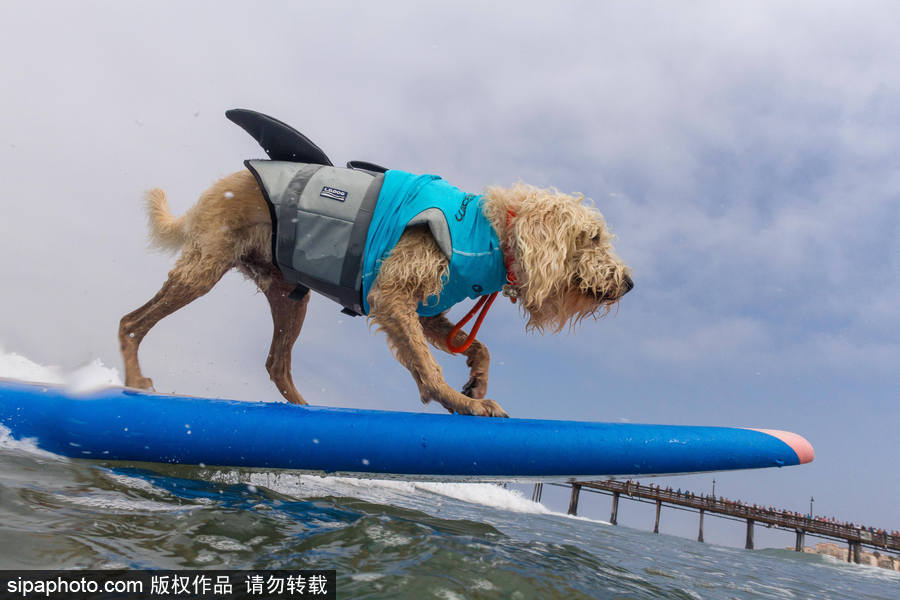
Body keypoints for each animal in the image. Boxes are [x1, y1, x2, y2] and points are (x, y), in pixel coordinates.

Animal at [118, 157, 632, 420]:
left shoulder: (428, 311)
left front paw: (477, 380)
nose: (629, 283)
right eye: (593, 237)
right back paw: (136, 381)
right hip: (203, 270)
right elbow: (428, 366)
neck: (490, 231)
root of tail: (217, 186)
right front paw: (463, 402)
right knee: (130, 322)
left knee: (276, 363)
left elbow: (477, 346)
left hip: (289, 297)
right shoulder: (393, 297)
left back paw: (307, 409)